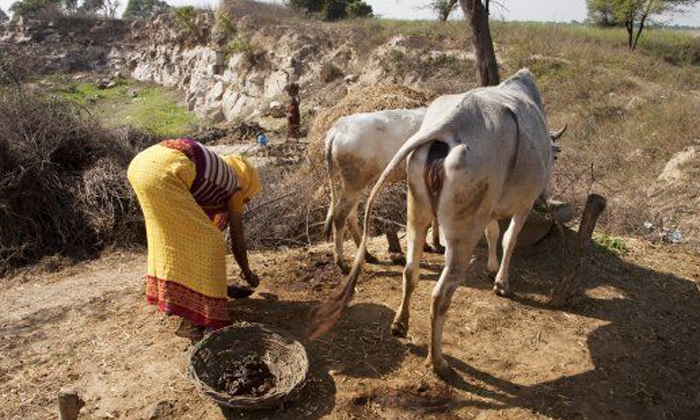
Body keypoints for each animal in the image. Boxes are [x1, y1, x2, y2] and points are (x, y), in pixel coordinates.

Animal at [322, 108, 442, 272]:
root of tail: (337, 128)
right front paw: (435, 245)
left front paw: (432, 245)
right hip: (353, 183)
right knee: (339, 217)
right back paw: (342, 263)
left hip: (356, 184)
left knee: (350, 216)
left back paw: (367, 255)